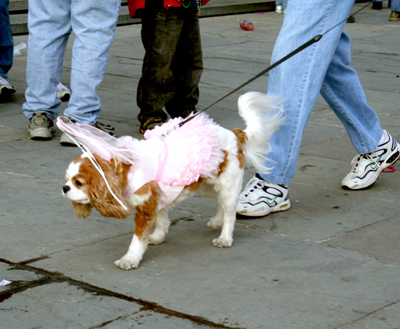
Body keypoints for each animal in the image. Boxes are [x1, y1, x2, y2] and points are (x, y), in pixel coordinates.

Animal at [61, 91, 282, 270]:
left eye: (79, 182)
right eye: (67, 180)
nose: (64, 188)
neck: (125, 169)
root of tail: (235, 133)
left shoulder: (145, 209)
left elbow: (138, 239)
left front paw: (130, 259)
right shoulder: (158, 198)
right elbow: (162, 220)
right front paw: (158, 237)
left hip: (227, 185)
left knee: (230, 213)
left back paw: (225, 237)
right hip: (208, 185)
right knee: (222, 203)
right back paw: (217, 220)